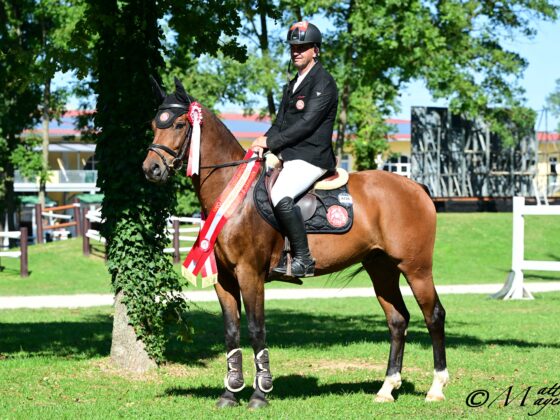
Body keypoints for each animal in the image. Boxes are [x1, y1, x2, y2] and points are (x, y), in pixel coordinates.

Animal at [142, 77, 448, 408]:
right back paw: (387, 388)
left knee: (433, 316)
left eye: (179, 124)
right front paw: (229, 393)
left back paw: (436, 388)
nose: (151, 169)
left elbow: (256, 329)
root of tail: (415, 187)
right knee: (397, 320)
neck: (232, 193)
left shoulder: (249, 274)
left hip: (416, 268)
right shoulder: (224, 278)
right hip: (381, 269)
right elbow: (231, 331)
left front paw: (260, 394)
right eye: (154, 124)